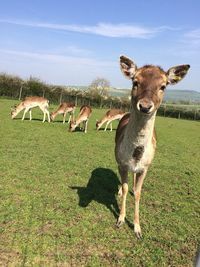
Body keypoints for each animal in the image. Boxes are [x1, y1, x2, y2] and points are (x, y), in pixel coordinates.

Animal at [115, 55, 190, 240]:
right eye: (135, 82)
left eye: (163, 86)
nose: (145, 106)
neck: (135, 155)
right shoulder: (122, 163)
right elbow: (125, 188)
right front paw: (120, 220)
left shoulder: (145, 168)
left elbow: (138, 192)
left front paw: (138, 229)